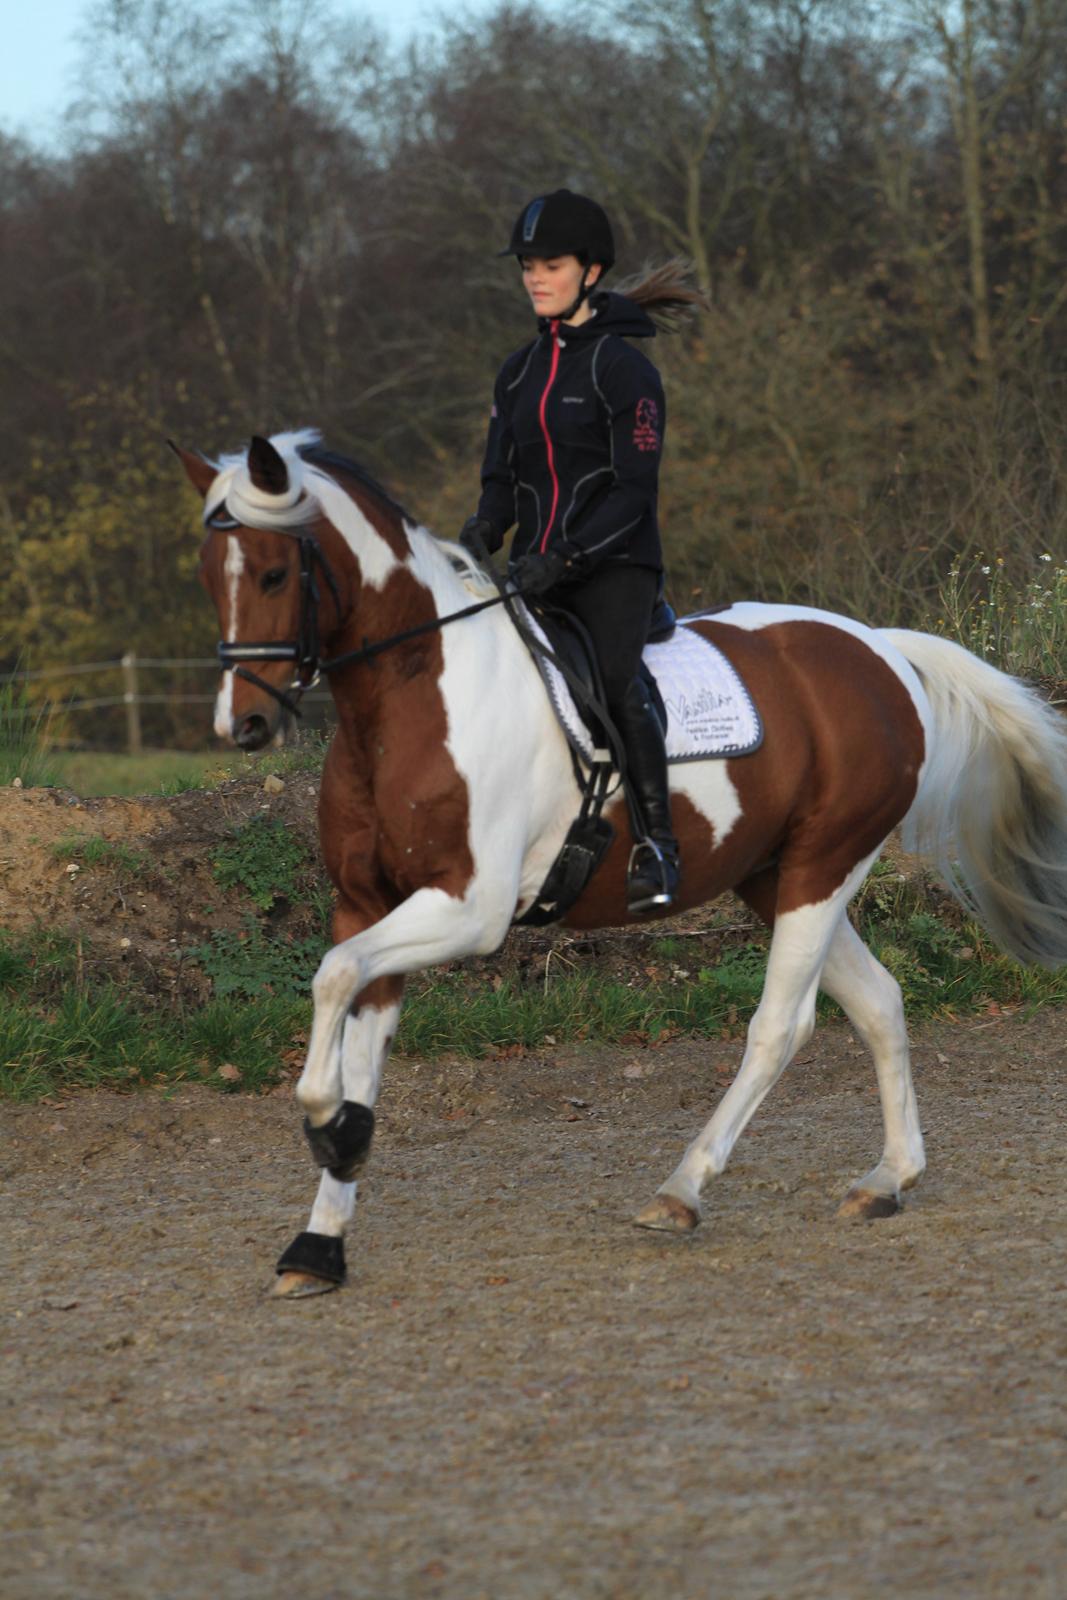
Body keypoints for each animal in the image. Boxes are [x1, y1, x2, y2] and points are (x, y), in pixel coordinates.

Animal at [174, 430, 1067, 1299]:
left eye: (275, 571)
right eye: (207, 576)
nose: (243, 724)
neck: (412, 699)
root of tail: (879, 648)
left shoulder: (468, 908)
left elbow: (330, 980)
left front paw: (329, 1123)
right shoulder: (367, 903)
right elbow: (355, 1024)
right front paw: (319, 1240)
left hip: (824, 864)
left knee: (781, 1024)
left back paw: (681, 1189)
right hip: (773, 877)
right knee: (878, 1000)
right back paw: (886, 1179)